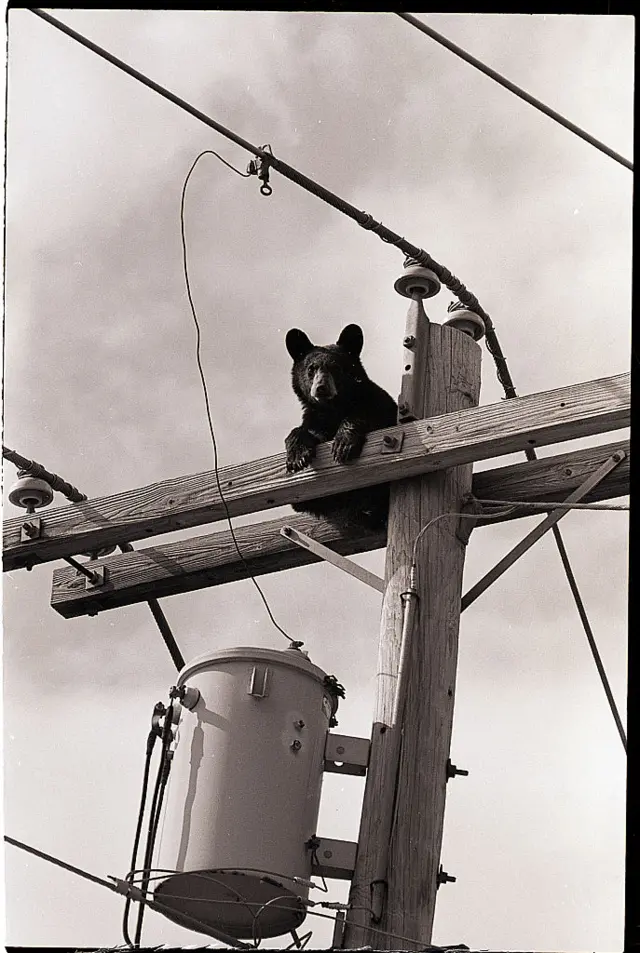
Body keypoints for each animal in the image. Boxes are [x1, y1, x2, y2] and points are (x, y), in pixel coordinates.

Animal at [284, 320, 398, 528]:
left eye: (336, 368)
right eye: (311, 369)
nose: (321, 388)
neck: (333, 409)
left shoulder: (379, 403)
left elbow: (370, 415)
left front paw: (343, 444)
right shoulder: (315, 418)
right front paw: (298, 456)